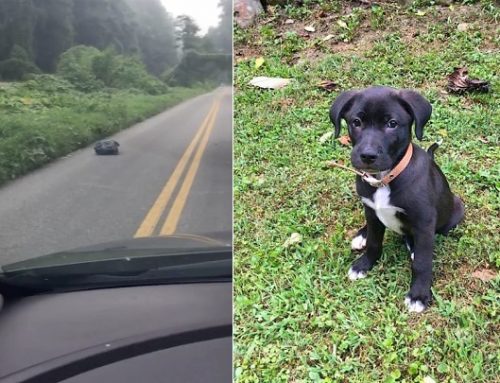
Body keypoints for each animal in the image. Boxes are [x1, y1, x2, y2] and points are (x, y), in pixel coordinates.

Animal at [328, 86, 464, 312]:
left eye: (392, 124)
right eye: (356, 122)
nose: (367, 156)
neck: (384, 180)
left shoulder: (424, 222)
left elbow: (422, 263)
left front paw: (418, 295)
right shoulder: (371, 210)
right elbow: (374, 242)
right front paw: (364, 264)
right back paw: (362, 235)